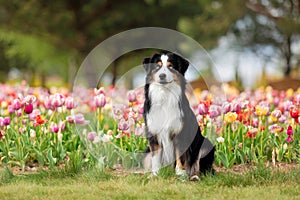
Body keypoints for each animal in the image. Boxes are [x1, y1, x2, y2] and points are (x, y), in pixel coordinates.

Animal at [144, 50, 216, 180]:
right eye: (157, 66)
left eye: (171, 66)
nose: (162, 76)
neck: (165, 96)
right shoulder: (153, 133)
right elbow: (155, 158)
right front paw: (155, 174)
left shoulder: (181, 133)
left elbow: (181, 156)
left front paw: (180, 174)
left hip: (205, 144)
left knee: (199, 167)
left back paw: (194, 177)